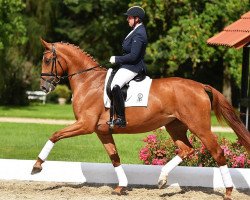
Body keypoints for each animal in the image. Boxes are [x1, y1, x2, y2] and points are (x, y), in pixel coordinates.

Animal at [32, 39, 249, 199]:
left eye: (47, 59)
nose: (44, 87)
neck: (89, 82)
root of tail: (201, 86)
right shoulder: (102, 131)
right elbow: (114, 157)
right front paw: (121, 187)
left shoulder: (85, 125)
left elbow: (55, 135)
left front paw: (37, 166)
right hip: (175, 126)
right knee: (186, 149)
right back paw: (162, 179)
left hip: (200, 127)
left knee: (217, 152)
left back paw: (228, 191)